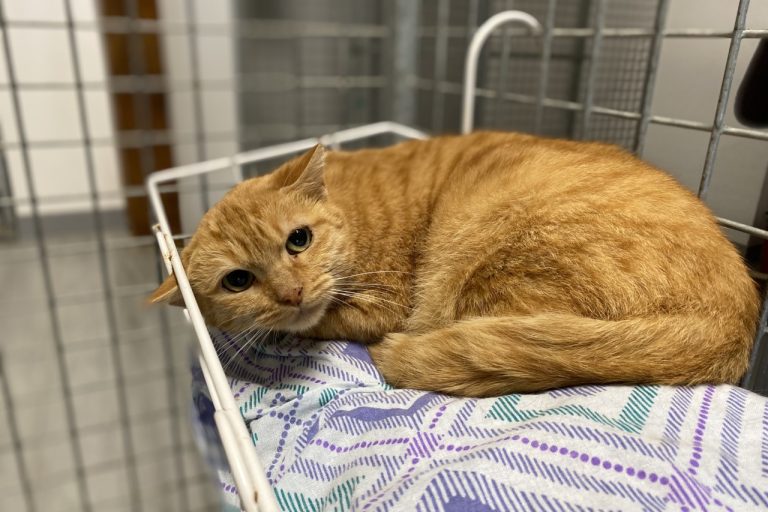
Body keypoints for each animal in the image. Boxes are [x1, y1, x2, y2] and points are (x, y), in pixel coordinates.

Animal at [150, 132, 759, 397]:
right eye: (238, 281)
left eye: (298, 240)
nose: (290, 295)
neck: (349, 207)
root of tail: (734, 322)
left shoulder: (384, 306)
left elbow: (322, 324)